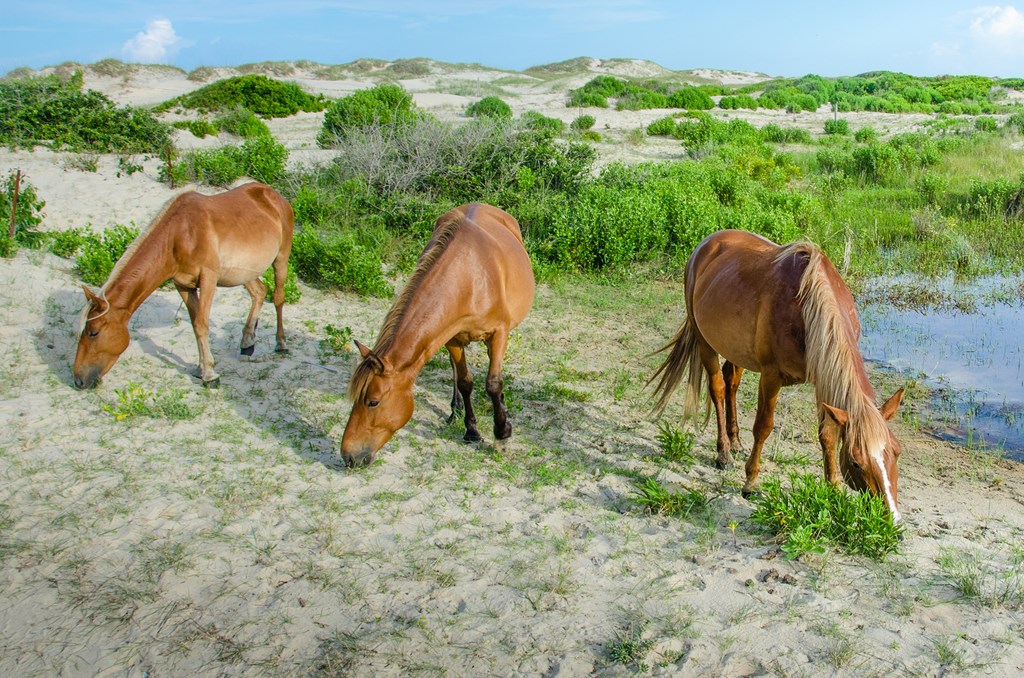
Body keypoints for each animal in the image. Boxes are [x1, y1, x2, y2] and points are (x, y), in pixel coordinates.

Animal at [72, 183, 294, 391]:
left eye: (93, 332)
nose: (78, 380)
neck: (179, 235)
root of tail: (274, 196)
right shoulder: (183, 285)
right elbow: (196, 324)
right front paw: (201, 368)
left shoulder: (208, 278)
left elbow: (201, 324)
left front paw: (210, 375)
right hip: (242, 272)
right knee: (259, 292)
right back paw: (247, 343)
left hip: (280, 259)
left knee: (278, 297)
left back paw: (281, 343)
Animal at [344, 201, 536, 467]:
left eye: (372, 402)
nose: (348, 456)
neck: (470, 279)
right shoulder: (452, 338)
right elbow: (465, 382)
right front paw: (471, 429)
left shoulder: (498, 333)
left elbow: (493, 383)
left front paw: (502, 434)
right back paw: (455, 409)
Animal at [647, 231, 905, 522]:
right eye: (856, 462)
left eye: (896, 451)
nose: (893, 519)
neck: (806, 309)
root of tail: (707, 243)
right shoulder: (771, 376)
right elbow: (763, 427)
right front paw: (751, 482)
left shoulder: (823, 380)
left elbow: (827, 435)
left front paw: (833, 487)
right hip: (704, 342)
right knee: (718, 389)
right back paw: (724, 452)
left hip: (737, 351)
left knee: (731, 382)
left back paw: (735, 442)